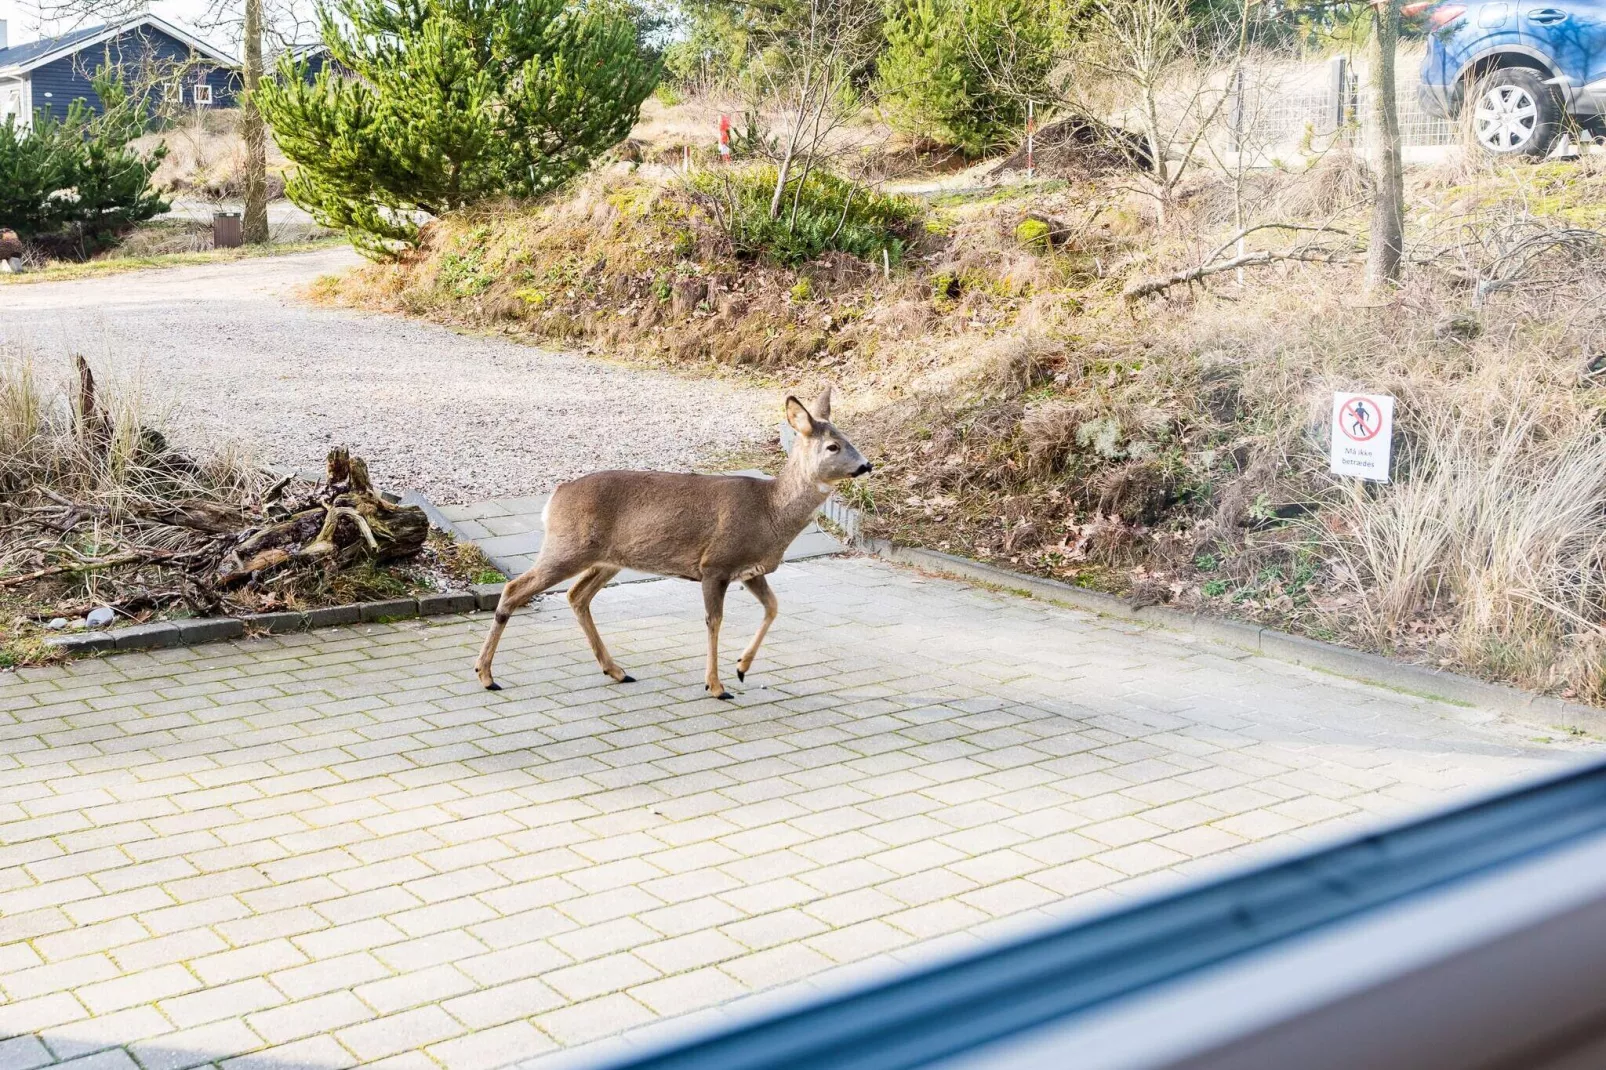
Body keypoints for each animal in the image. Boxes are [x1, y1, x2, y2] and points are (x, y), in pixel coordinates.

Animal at [475, 387, 873, 697]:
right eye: (833, 446)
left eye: (848, 439)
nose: (867, 465)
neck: (769, 512)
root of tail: (554, 497)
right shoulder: (715, 563)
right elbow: (714, 621)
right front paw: (716, 686)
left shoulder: (750, 570)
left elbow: (773, 607)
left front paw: (742, 667)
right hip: (567, 546)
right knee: (515, 588)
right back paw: (486, 675)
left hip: (607, 559)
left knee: (577, 596)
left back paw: (617, 670)